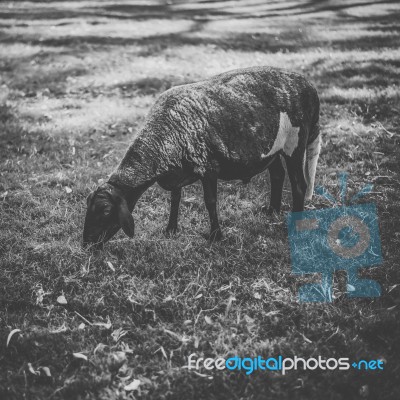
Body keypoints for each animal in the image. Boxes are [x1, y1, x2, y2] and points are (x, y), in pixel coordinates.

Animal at [83, 66, 320, 247]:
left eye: (106, 211)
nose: (87, 244)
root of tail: (309, 86)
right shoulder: (176, 172)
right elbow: (175, 199)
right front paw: (170, 229)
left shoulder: (208, 168)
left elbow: (210, 202)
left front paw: (215, 236)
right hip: (271, 149)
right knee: (277, 174)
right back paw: (271, 210)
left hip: (295, 144)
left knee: (299, 185)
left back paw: (296, 227)